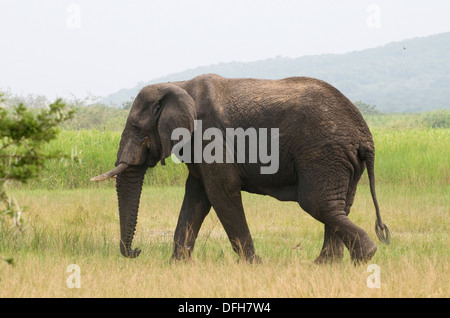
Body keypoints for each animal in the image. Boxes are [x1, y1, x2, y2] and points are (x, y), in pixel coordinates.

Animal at [89, 74, 388, 264]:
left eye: (137, 128)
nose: (136, 251)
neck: (177, 84)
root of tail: (365, 136)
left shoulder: (209, 135)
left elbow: (222, 190)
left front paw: (254, 264)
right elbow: (197, 195)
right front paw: (177, 265)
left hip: (323, 153)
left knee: (318, 204)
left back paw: (365, 256)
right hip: (340, 159)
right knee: (338, 206)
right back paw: (328, 264)